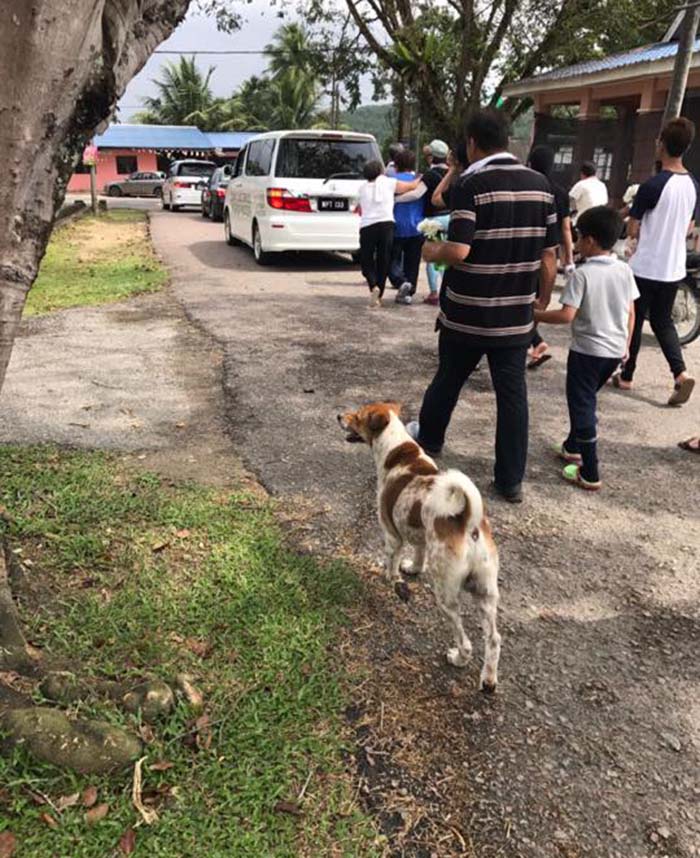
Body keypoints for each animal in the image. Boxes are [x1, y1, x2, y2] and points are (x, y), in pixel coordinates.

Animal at [336, 400, 500, 688]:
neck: (398, 452)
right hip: (486, 592)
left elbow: (391, 562)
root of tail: (467, 522)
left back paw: (458, 658)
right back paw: (488, 680)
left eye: (356, 416)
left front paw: (391, 579)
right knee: (493, 640)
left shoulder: (392, 534)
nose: (338, 416)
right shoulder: (420, 535)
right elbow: (419, 554)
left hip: (446, 595)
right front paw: (412, 569)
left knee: (466, 641)